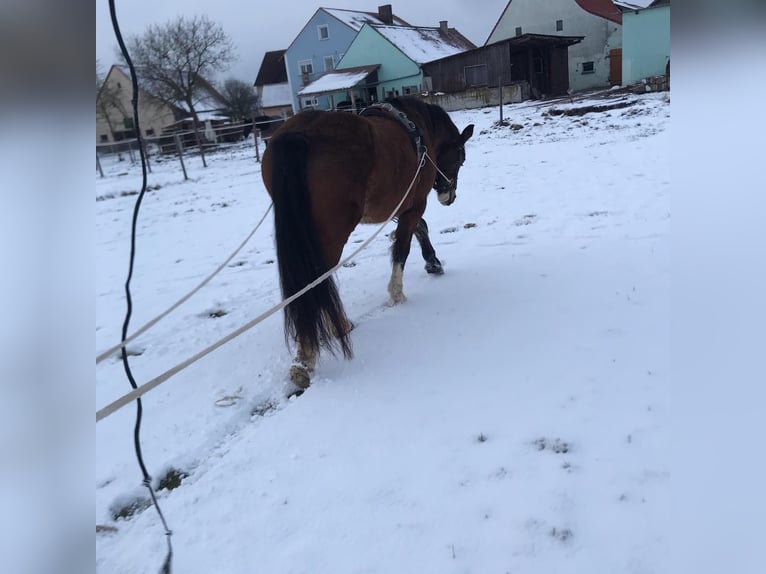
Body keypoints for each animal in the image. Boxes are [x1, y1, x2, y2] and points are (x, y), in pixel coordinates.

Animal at [262, 97, 474, 390]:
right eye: (460, 159)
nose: (449, 196)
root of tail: (300, 134)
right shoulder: (414, 204)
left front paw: (433, 263)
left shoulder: (403, 204)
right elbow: (403, 247)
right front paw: (397, 294)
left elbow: (420, 229)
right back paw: (312, 350)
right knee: (317, 280)